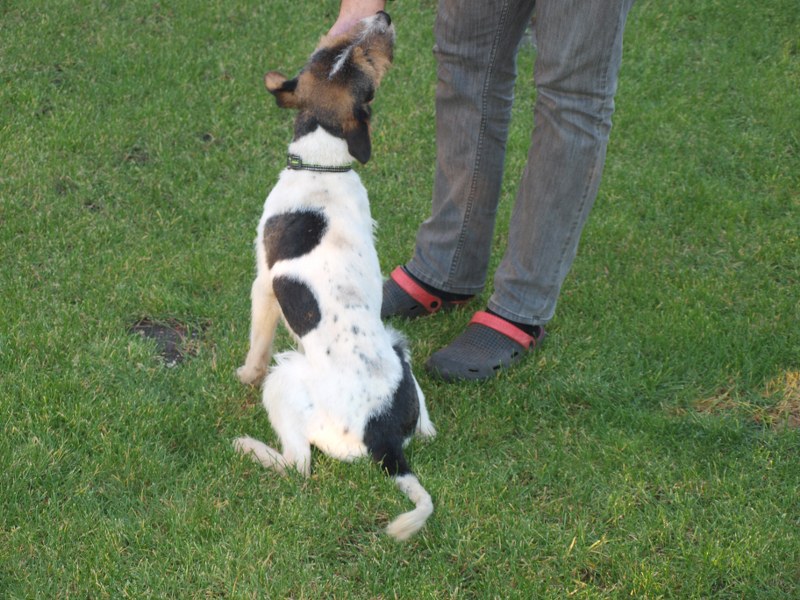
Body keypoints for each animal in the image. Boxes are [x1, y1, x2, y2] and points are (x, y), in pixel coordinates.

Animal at [233, 12, 436, 541]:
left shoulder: (262, 285)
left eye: (366, 63)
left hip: (285, 379)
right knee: (426, 422)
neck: (323, 164)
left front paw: (242, 375)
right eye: (330, 48)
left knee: (298, 465)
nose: (382, 15)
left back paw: (250, 448)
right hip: (398, 342)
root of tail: (384, 439)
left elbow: (256, 343)